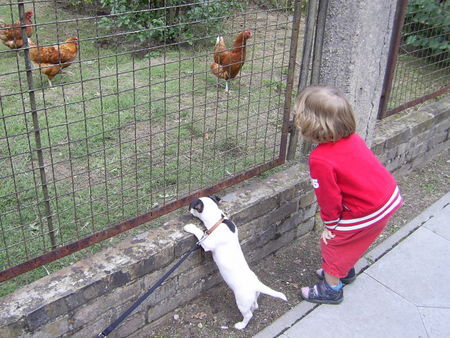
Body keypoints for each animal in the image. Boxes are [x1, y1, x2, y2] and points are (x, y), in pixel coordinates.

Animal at [184, 195, 286, 330]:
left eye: (191, 205)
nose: (187, 208)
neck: (218, 221)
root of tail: (256, 284)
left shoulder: (207, 244)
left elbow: (200, 234)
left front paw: (189, 227)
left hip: (242, 301)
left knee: (248, 315)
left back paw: (241, 325)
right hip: (252, 297)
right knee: (255, 306)